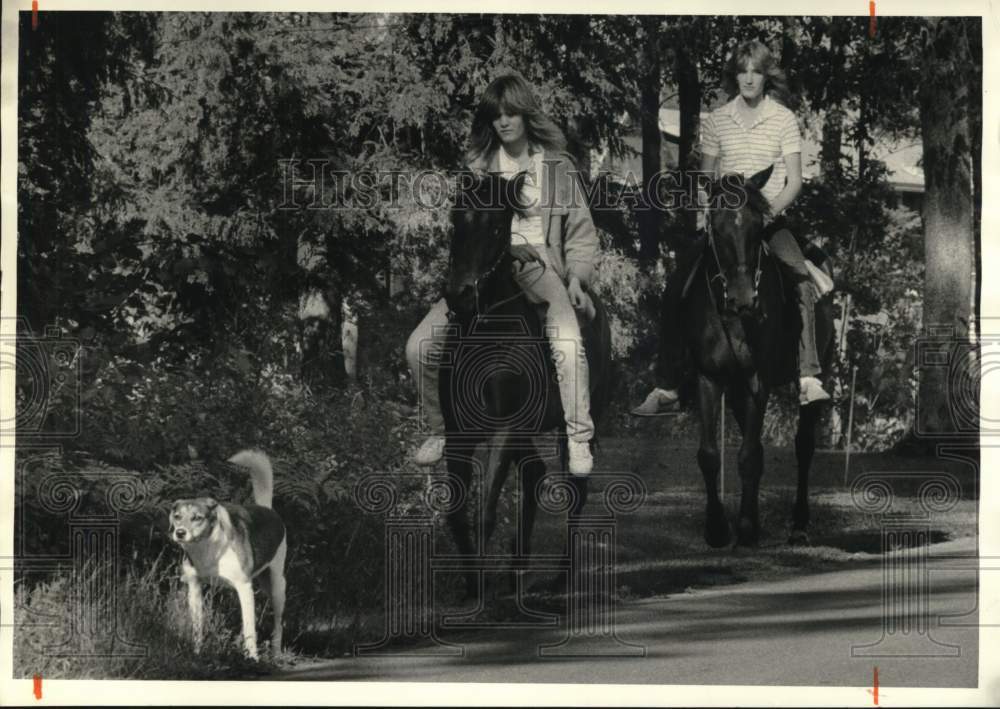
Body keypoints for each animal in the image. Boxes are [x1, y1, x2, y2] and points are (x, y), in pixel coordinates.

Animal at [168, 448, 286, 660]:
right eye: (177, 516)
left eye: (197, 518)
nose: (180, 533)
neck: (207, 548)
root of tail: (268, 509)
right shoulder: (194, 589)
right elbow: (197, 627)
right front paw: (197, 653)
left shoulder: (244, 587)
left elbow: (249, 629)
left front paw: (252, 659)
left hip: (277, 587)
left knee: (278, 623)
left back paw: (276, 653)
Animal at [688, 166, 836, 548]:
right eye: (716, 227)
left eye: (758, 228)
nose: (744, 299)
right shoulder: (708, 377)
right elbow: (710, 455)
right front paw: (717, 529)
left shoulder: (759, 378)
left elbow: (749, 456)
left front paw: (745, 529)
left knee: (803, 446)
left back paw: (799, 524)